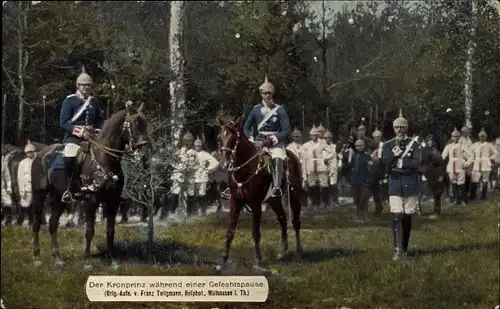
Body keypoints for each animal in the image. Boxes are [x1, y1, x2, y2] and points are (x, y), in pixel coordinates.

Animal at [29, 102, 149, 268]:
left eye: (145, 125)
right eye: (136, 124)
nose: (144, 155)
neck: (105, 159)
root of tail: (40, 154)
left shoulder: (113, 202)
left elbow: (110, 231)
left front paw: (112, 260)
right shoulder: (91, 201)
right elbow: (90, 230)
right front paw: (86, 260)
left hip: (59, 198)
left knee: (53, 224)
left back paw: (57, 258)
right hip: (40, 194)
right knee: (36, 222)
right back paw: (36, 257)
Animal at [214, 114, 302, 270]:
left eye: (233, 139)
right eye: (219, 138)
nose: (224, 165)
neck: (245, 170)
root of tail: (293, 155)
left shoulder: (255, 205)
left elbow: (255, 233)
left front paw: (258, 260)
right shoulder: (235, 202)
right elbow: (230, 232)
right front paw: (222, 261)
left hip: (294, 195)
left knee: (296, 222)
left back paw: (298, 252)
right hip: (274, 200)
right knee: (283, 220)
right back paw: (282, 251)